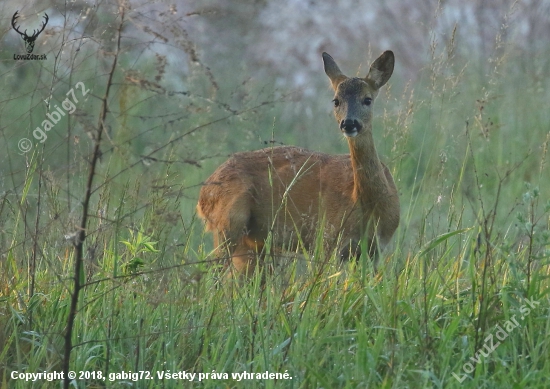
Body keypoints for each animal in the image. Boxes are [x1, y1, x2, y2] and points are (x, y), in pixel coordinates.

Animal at [198, 50, 402, 276]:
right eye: (336, 101)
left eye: (367, 99)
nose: (349, 123)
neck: (366, 204)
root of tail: (204, 193)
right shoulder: (329, 239)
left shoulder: (376, 250)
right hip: (227, 223)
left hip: (251, 242)